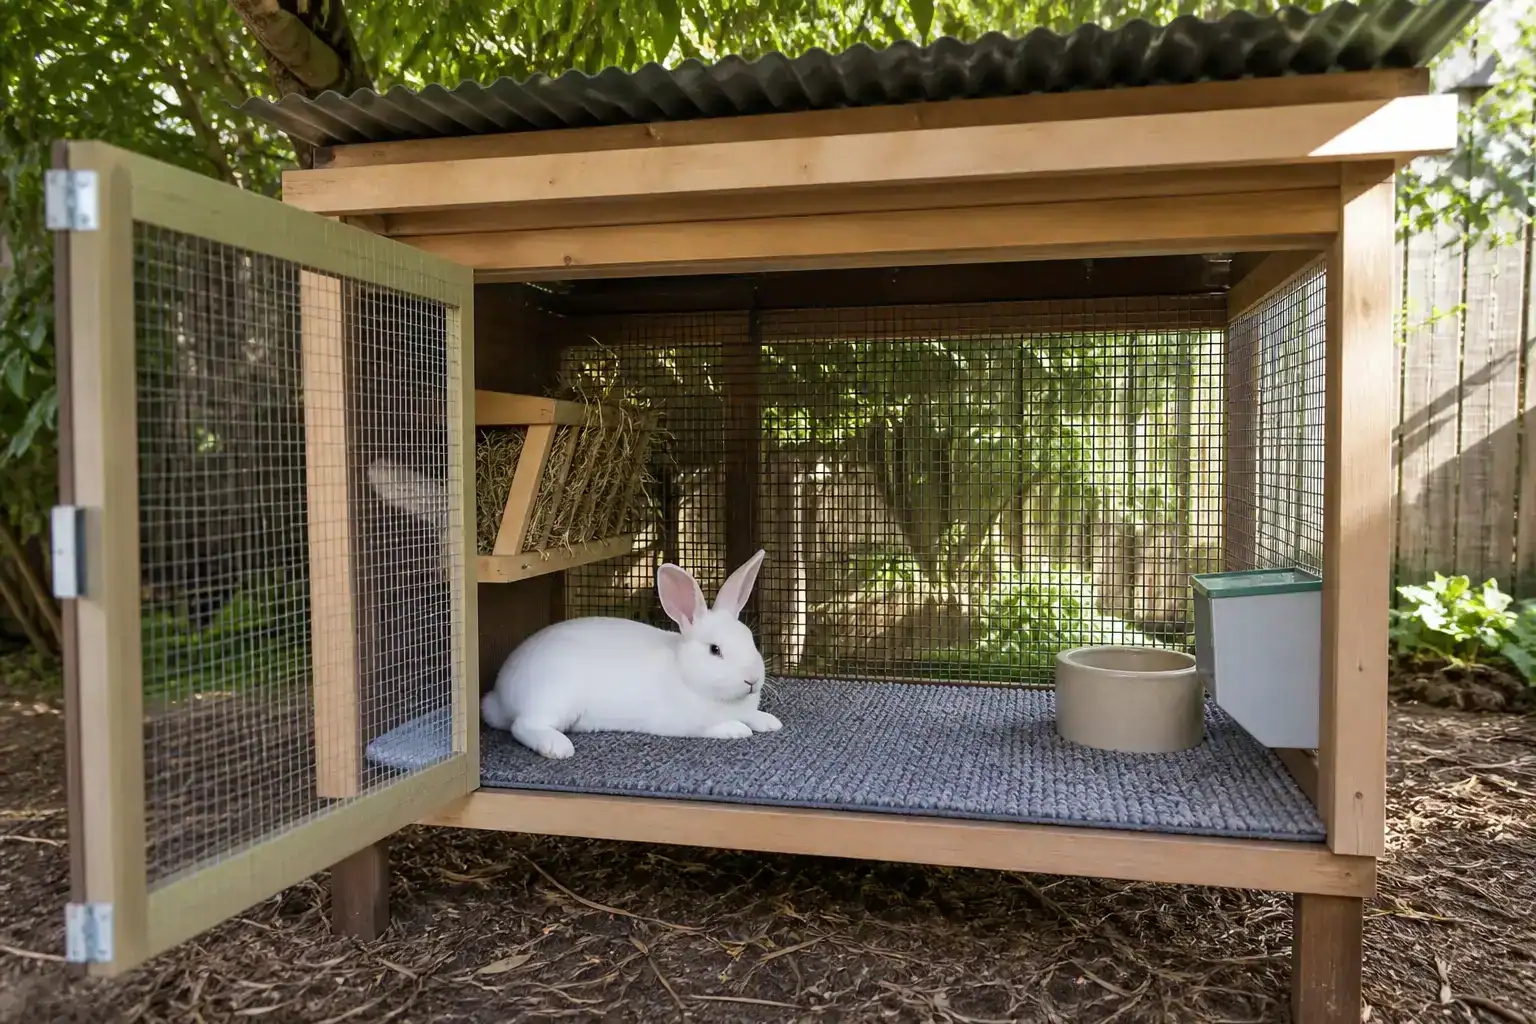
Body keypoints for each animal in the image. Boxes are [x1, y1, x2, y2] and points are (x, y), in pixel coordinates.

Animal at [481, 549, 782, 759]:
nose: (752, 679)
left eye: (750, 638)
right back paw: (558, 747)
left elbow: (754, 716)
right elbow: (713, 727)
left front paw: (770, 722)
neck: (686, 675)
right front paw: (737, 729)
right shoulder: (685, 723)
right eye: (714, 649)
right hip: (554, 698)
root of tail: (501, 692)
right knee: (523, 725)